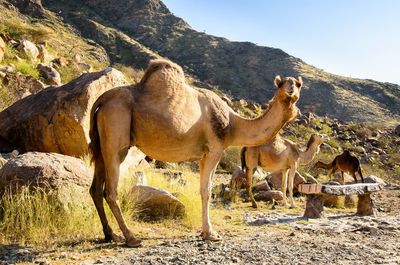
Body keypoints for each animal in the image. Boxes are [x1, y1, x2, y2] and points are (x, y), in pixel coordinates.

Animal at [89, 58, 302, 246]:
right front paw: (210, 233)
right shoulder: (215, 149)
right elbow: (206, 190)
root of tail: (101, 100)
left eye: (298, 84)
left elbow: (203, 189)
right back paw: (131, 238)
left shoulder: (202, 155)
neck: (233, 124)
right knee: (110, 190)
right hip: (116, 135)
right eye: (281, 84)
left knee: (95, 189)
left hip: (101, 146)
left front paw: (205, 231)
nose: (291, 90)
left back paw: (111, 235)